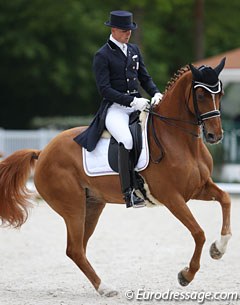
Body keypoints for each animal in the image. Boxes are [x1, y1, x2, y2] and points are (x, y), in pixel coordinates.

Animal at [0, 58, 232, 294]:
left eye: (220, 94)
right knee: (75, 249)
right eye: (201, 95)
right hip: (73, 208)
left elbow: (225, 199)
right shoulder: (172, 198)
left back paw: (102, 287)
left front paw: (219, 248)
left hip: (92, 204)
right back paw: (105, 287)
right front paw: (186, 275)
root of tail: (43, 152)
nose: (214, 135)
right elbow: (198, 233)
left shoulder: (198, 188)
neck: (179, 140)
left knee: (78, 248)